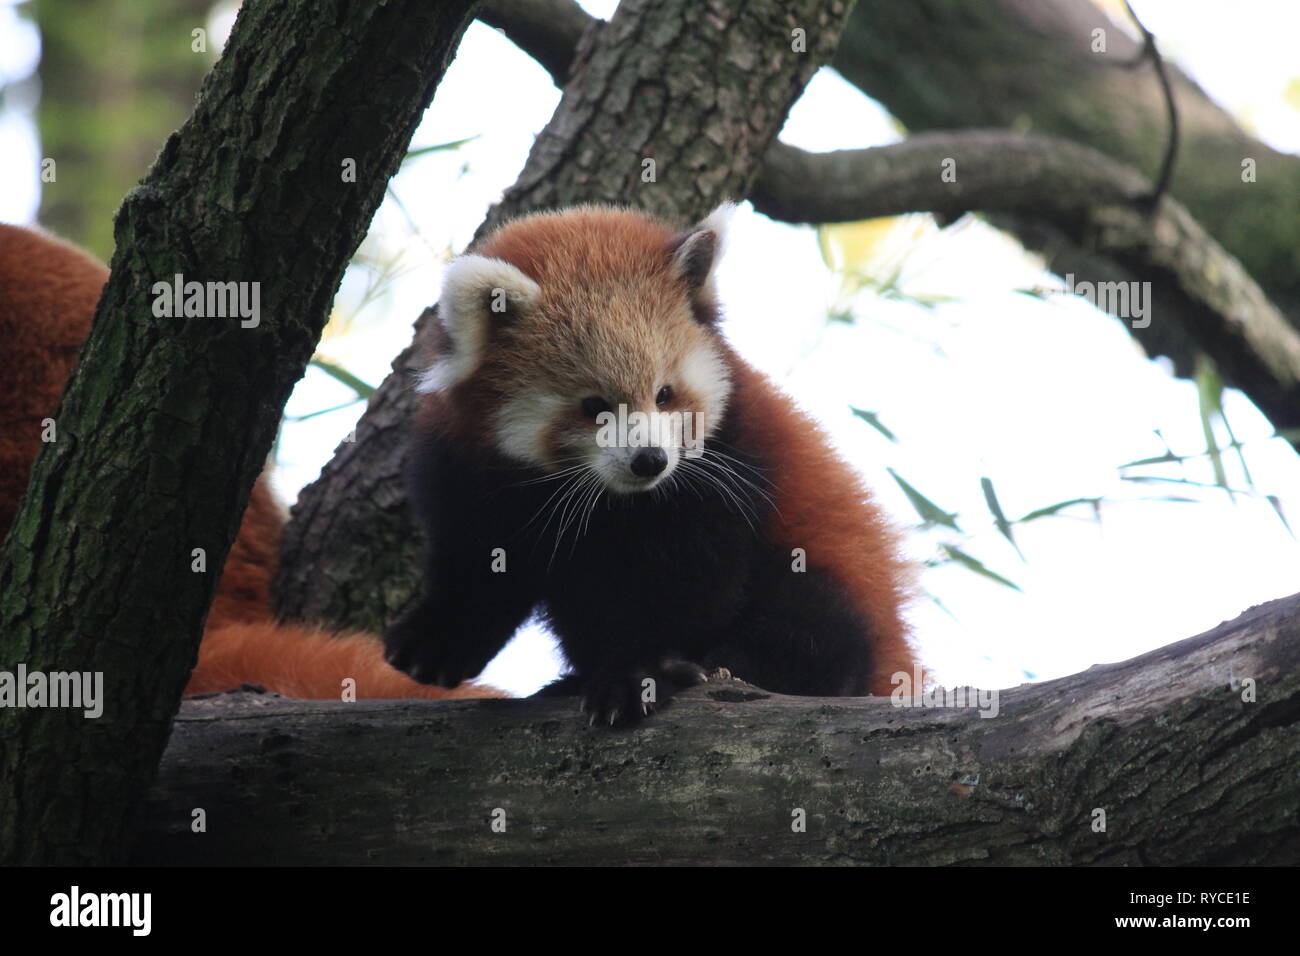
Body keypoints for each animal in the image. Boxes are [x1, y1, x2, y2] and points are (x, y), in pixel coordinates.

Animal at [382, 204, 915, 723]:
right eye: (594, 406)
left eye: (664, 394)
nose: (650, 461)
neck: (611, 500)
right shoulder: (469, 468)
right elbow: (481, 556)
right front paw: (440, 635)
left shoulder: (724, 472)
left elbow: (687, 590)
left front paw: (640, 672)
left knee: (818, 626)